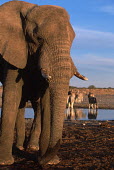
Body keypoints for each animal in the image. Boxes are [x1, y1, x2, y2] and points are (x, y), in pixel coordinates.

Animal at [0, 0, 87, 166]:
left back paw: (31, 147)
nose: (41, 161)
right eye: (38, 39)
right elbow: (12, 94)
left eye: (72, 40)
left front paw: (51, 161)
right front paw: (5, 162)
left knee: (37, 106)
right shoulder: (14, 52)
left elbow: (46, 100)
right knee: (20, 104)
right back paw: (21, 147)